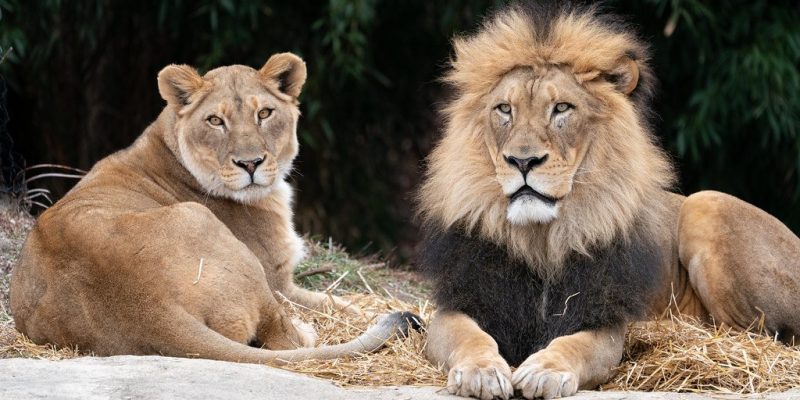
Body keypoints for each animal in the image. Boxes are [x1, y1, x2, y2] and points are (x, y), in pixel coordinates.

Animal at [10, 53, 417, 363]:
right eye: (215, 120)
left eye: (264, 114)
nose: (250, 163)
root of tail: (152, 308)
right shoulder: (280, 280)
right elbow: (338, 303)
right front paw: (368, 309)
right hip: (217, 237)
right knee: (283, 337)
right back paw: (307, 330)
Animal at [417, 4, 800, 399]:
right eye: (504, 109)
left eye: (562, 108)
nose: (522, 162)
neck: (542, 238)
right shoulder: (462, 302)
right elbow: (469, 336)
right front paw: (481, 371)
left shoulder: (602, 317)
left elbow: (576, 345)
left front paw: (545, 370)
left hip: (706, 204)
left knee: (754, 334)